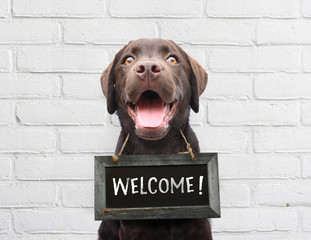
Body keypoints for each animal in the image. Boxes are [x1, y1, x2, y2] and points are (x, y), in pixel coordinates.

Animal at [99, 38, 212, 239]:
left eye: (172, 59)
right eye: (128, 59)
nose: (148, 68)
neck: (157, 150)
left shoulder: (200, 225)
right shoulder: (132, 228)